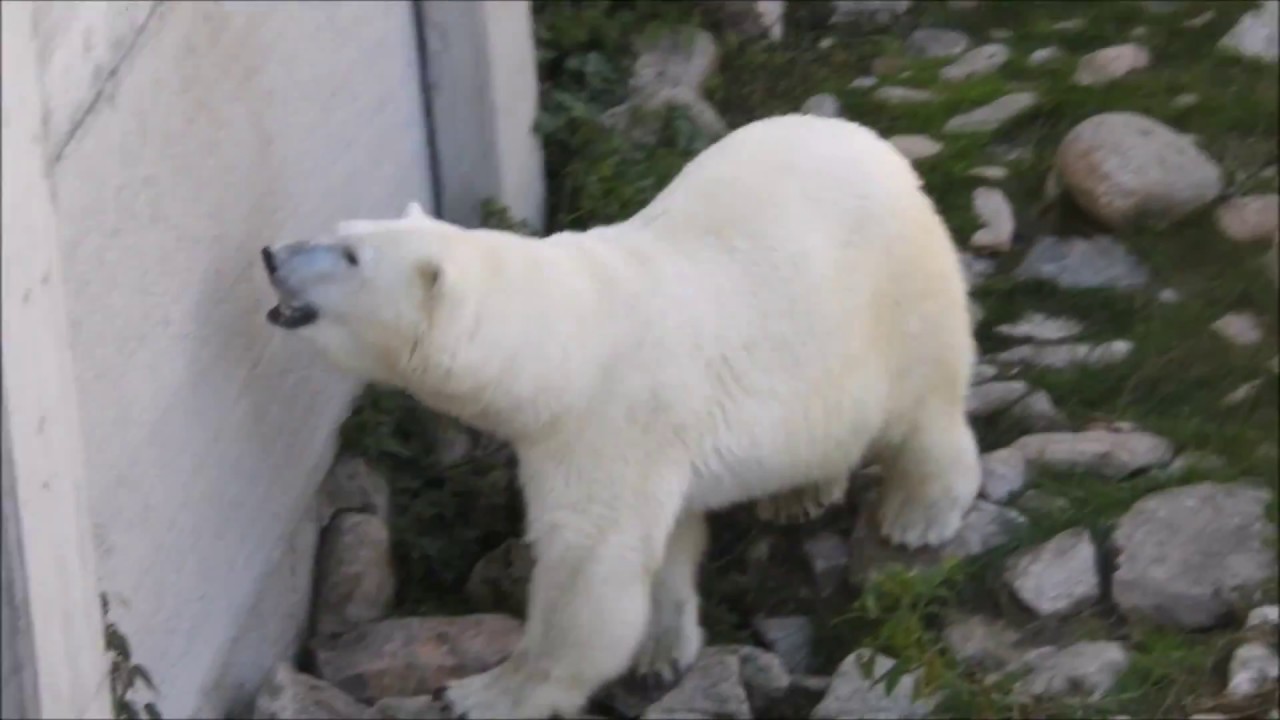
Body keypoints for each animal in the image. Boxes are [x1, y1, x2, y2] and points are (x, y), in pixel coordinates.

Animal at [260, 113, 981, 719]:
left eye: (350, 258)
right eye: (342, 232)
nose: (271, 255)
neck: (566, 343)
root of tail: (879, 147)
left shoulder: (610, 419)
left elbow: (587, 568)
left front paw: (483, 693)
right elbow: (665, 545)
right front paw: (661, 654)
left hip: (891, 299)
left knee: (924, 409)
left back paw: (918, 514)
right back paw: (799, 494)